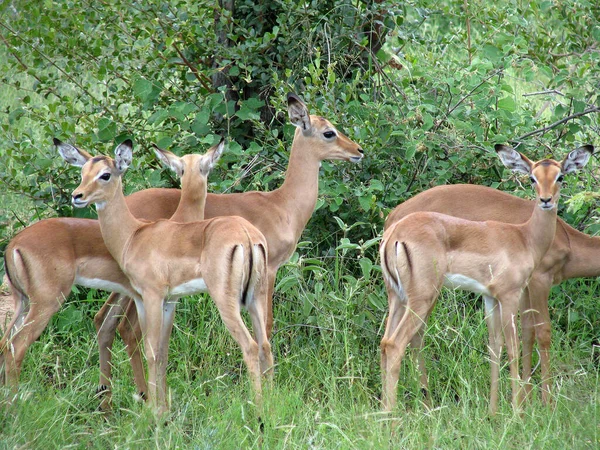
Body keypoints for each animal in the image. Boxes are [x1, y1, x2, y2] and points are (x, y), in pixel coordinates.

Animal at [57, 139, 274, 414]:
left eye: (105, 174)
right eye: (82, 172)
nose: (78, 196)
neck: (134, 235)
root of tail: (246, 234)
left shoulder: (149, 297)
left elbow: (151, 351)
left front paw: (154, 411)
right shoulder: (169, 301)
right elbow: (162, 352)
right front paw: (163, 409)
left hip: (226, 302)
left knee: (251, 346)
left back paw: (258, 411)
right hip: (257, 298)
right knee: (265, 345)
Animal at [380, 145, 592, 414]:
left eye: (560, 176)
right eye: (532, 178)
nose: (546, 200)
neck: (524, 237)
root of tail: (393, 231)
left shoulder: (490, 298)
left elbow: (495, 347)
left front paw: (494, 412)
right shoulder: (514, 293)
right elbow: (516, 345)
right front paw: (520, 411)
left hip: (397, 297)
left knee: (385, 343)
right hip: (422, 298)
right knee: (398, 344)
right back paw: (394, 417)